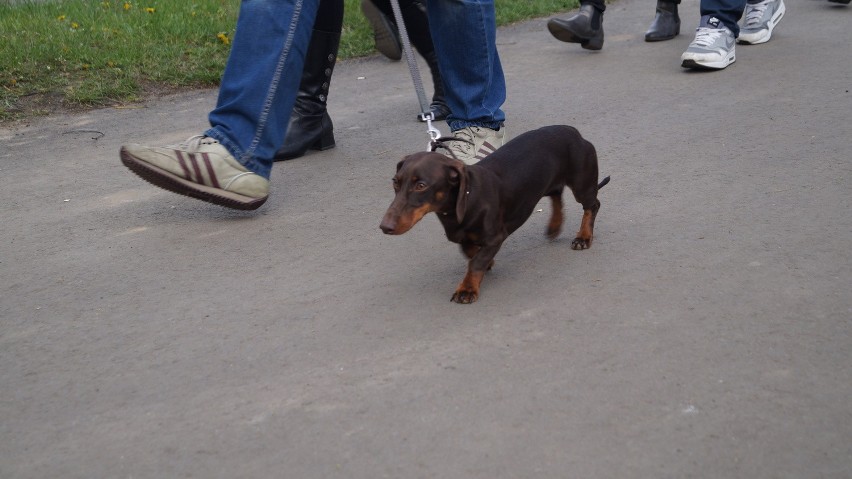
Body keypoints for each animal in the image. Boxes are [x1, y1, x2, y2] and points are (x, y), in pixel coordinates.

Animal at [378, 124, 604, 304]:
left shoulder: (496, 236)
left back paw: (583, 237)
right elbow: (470, 251)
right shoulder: (463, 236)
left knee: (592, 205)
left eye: (421, 185)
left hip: (582, 185)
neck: (468, 198)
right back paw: (554, 226)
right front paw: (487, 262)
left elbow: (476, 261)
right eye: (395, 182)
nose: (384, 227)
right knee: (556, 194)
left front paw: (467, 289)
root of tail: (573, 131)